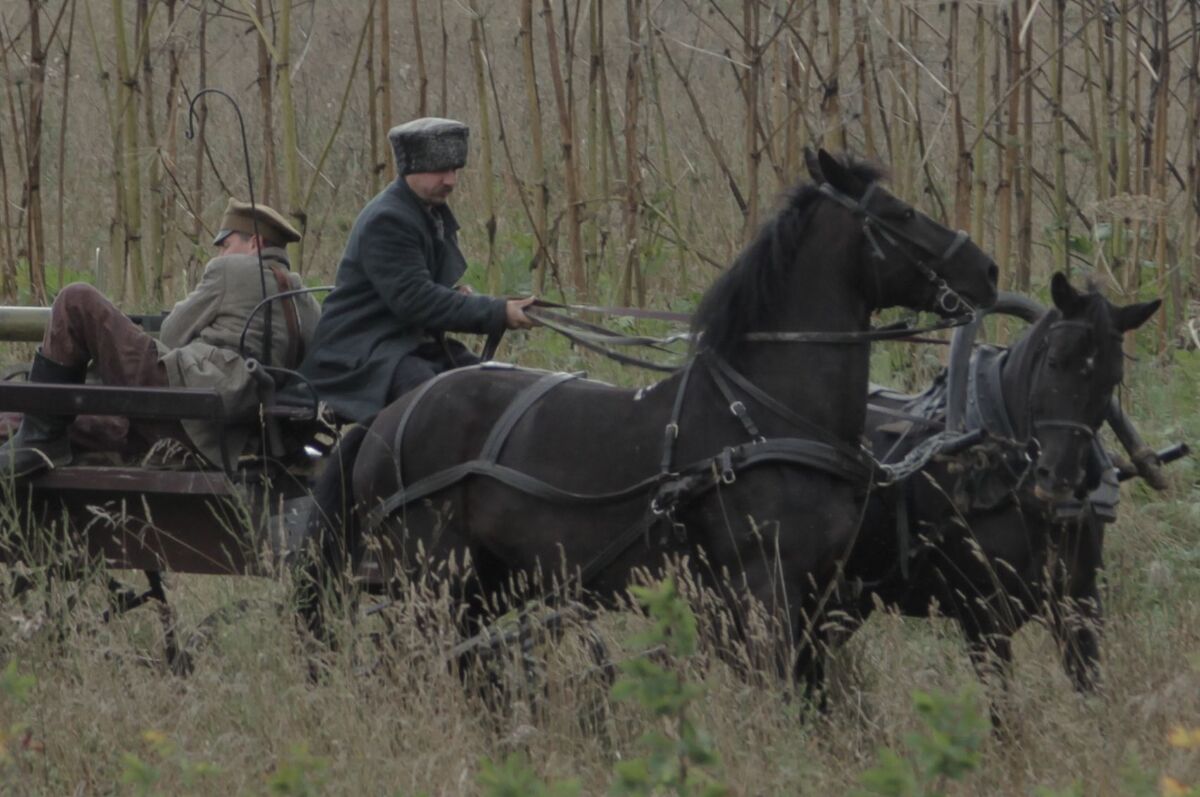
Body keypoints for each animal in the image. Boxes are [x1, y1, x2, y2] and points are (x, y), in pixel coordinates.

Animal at [307, 151, 993, 691]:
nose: (986, 272)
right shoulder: (763, 589)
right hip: (429, 578)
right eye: (901, 215)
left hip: (479, 582)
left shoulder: (816, 595)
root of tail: (385, 420)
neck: (760, 415)